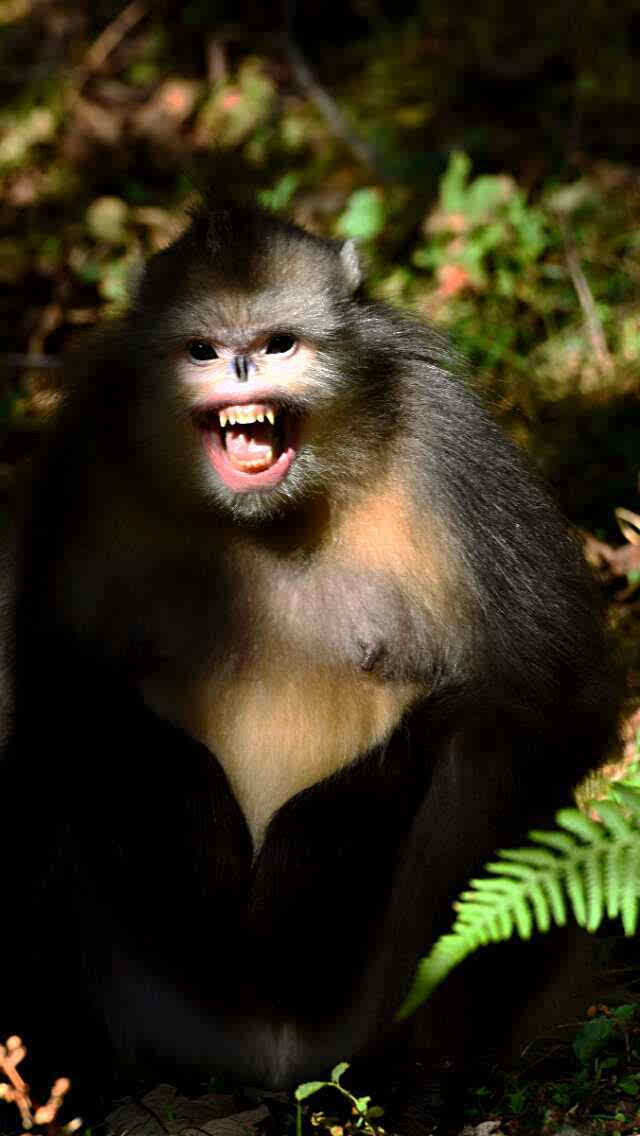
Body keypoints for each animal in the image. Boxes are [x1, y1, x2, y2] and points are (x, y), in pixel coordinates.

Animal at [0, 202, 618, 1126]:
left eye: (281, 343)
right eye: (204, 350)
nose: (244, 364)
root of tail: (270, 1067)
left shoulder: (451, 443)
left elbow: (551, 693)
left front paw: (313, 840)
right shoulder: (80, 457)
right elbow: (51, 684)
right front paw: (204, 810)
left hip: (355, 1019)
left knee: (482, 753)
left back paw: (423, 1076)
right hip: (160, 1011)